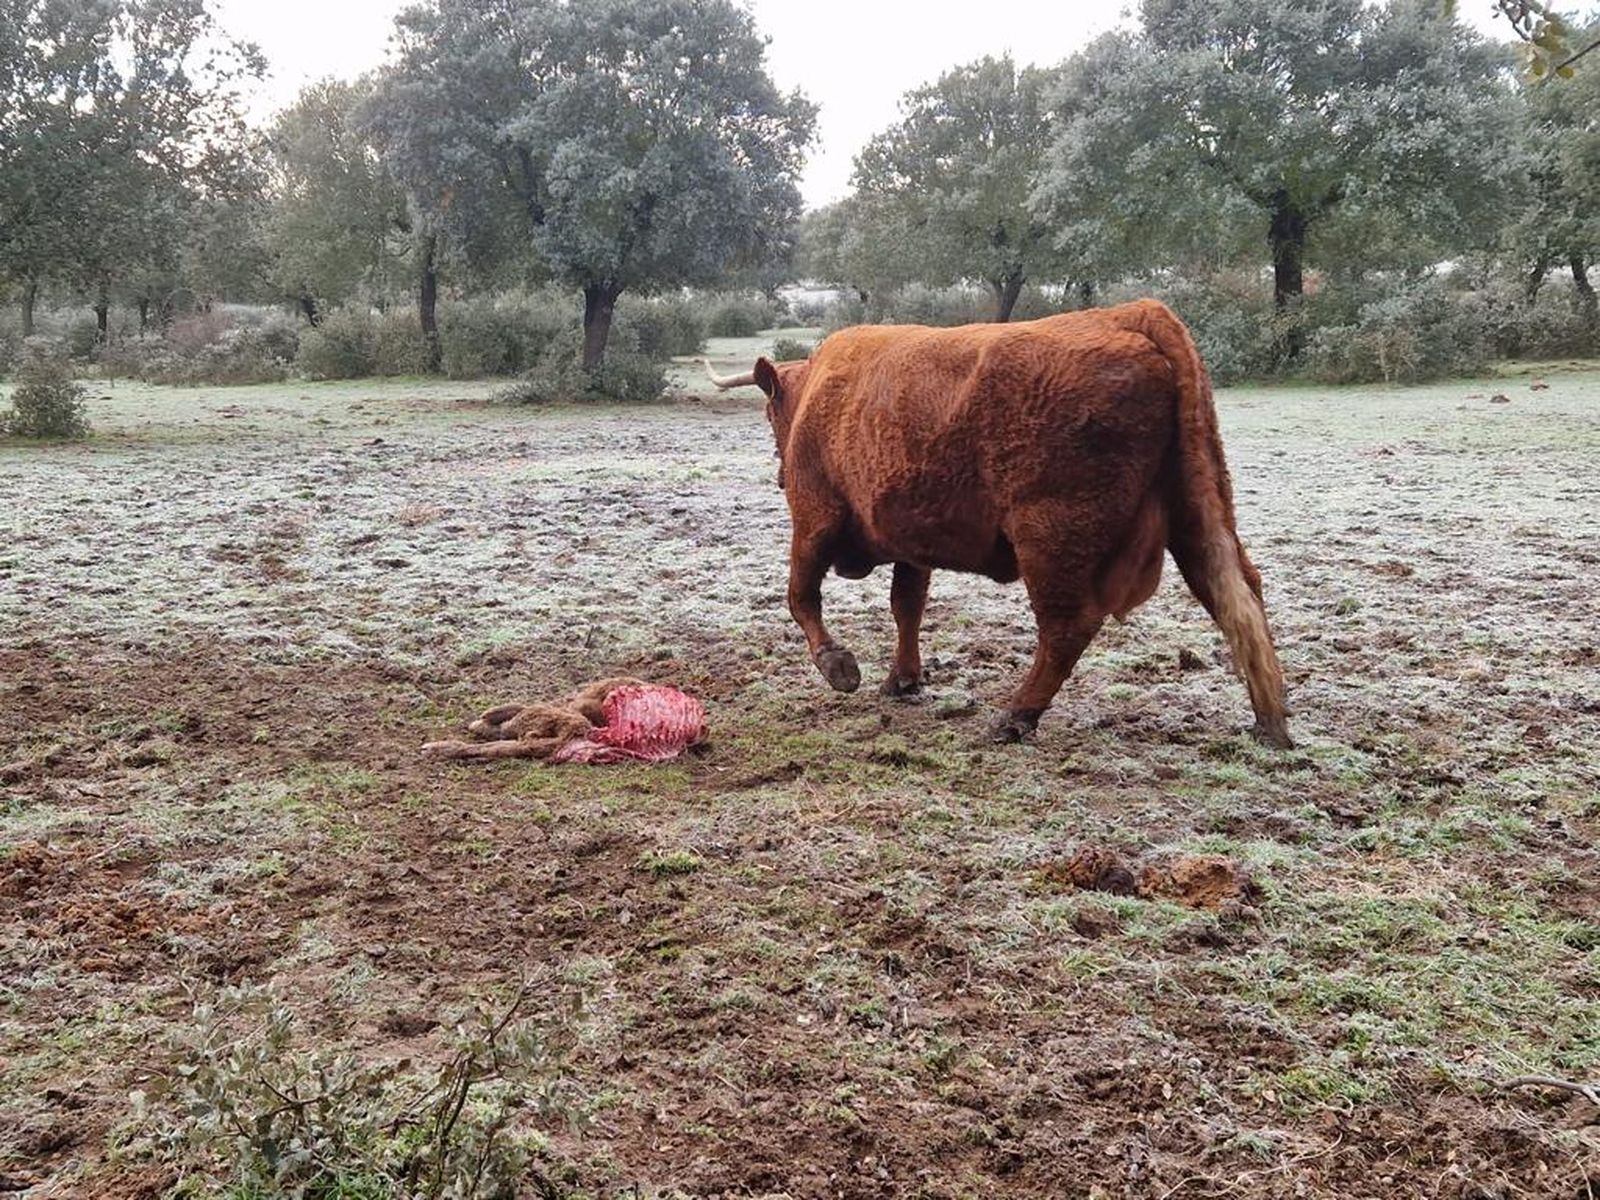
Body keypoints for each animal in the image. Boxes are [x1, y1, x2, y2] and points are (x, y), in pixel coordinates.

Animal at [704, 299, 1292, 748]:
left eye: (771, 415)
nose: (779, 475)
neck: (819, 392)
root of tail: (1130, 313)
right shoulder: (911, 543)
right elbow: (907, 607)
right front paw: (904, 679)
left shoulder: (814, 519)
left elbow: (801, 597)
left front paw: (839, 666)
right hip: (1197, 515)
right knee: (1237, 595)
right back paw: (1270, 722)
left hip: (1050, 539)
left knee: (1068, 626)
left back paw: (1016, 715)